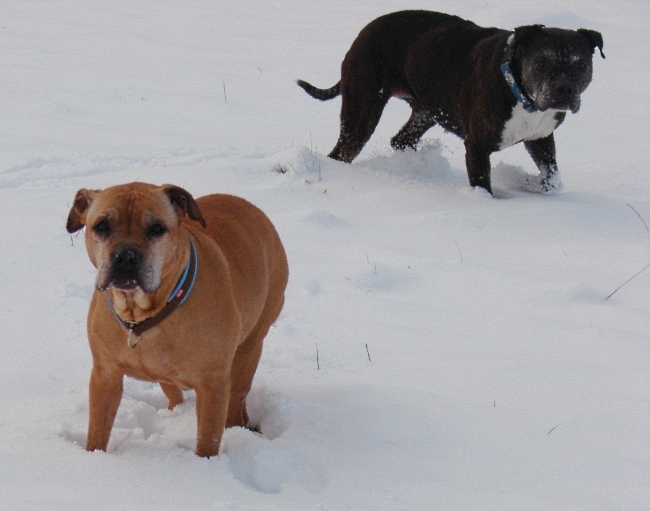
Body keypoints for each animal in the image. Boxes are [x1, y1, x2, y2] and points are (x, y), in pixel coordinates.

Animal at [67, 184, 288, 460]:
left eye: (157, 228)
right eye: (102, 225)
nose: (126, 256)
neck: (142, 314)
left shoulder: (212, 383)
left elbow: (208, 438)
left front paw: (206, 464)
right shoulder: (105, 376)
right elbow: (98, 429)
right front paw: (94, 457)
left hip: (251, 344)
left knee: (237, 394)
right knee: (173, 391)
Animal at [298, 12, 604, 196]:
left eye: (581, 64)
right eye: (541, 62)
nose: (564, 89)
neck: (519, 92)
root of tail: (364, 31)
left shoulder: (541, 138)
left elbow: (551, 175)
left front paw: (536, 185)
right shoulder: (478, 146)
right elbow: (482, 184)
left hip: (426, 111)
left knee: (401, 139)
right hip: (362, 109)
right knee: (343, 151)